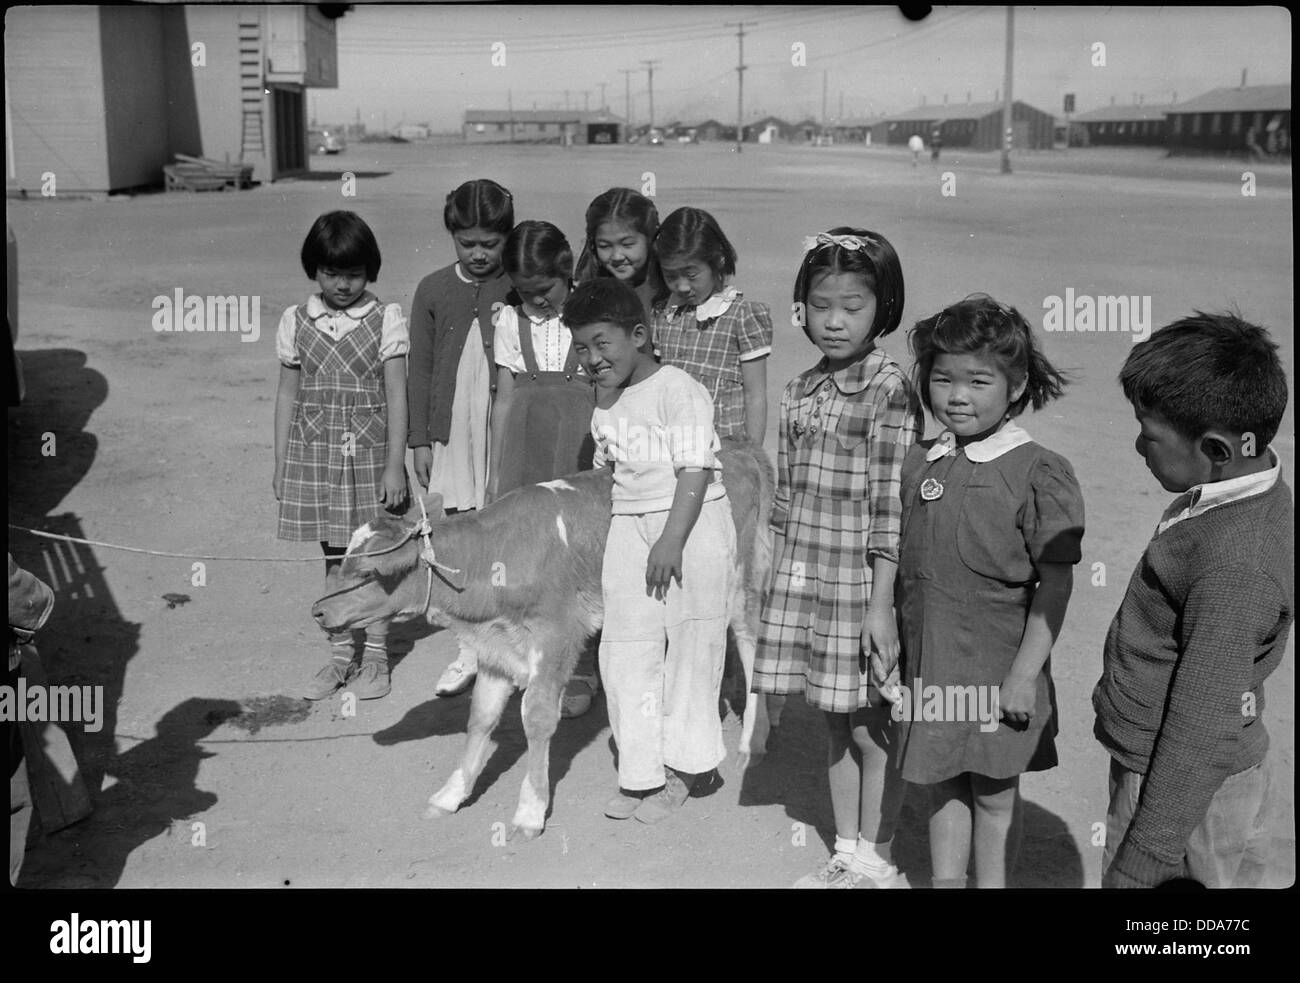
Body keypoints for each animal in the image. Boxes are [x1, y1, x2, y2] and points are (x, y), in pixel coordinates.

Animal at [312, 439, 769, 837]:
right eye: (345, 560)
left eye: (367, 572)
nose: (318, 611)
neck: (495, 556)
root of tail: (738, 449)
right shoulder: (495, 645)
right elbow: (481, 718)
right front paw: (451, 794)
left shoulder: (558, 635)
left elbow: (536, 717)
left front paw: (530, 811)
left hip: (736, 582)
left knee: (749, 640)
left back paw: (752, 740)